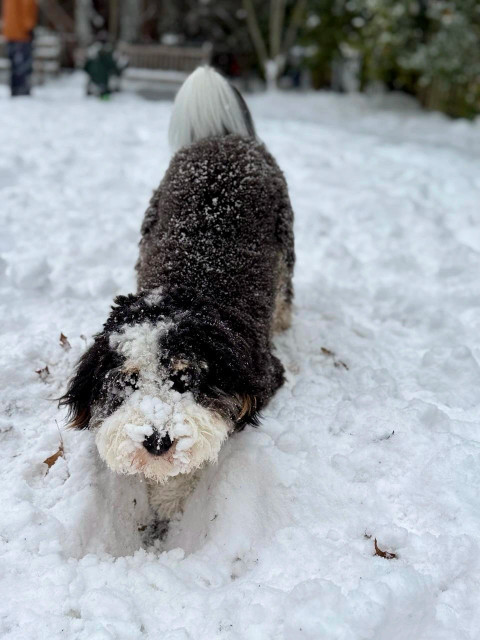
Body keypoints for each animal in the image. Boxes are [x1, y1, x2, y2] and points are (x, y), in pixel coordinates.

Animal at [59, 66, 292, 524]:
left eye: (185, 379)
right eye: (128, 382)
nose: (157, 441)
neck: (187, 289)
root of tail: (222, 136)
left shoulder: (262, 375)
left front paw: (171, 498)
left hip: (285, 236)